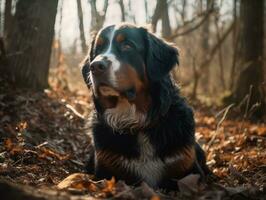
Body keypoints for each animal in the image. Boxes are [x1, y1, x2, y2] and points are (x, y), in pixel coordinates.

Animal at [81, 23, 210, 189]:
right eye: (97, 50)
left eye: (127, 46)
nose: (96, 66)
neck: (137, 123)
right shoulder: (106, 169)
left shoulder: (187, 165)